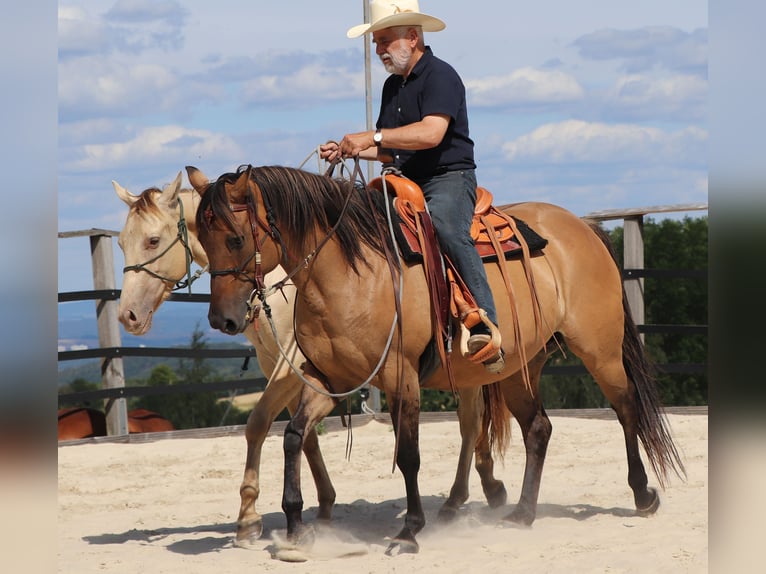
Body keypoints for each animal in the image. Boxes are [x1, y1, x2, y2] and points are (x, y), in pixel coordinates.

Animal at [113, 171, 513, 543]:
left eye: (153, 240)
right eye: (120, 242)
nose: (127, 316)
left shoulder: (289, 365)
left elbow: (258, 423)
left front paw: (248, 517)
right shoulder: (286, 365)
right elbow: (303, 435)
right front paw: (322, 504)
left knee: (471, 419)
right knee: (472, 419)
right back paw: (481, 489)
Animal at [188, 163, 685, 555]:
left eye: (235, 238)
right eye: (201, 240)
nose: (221, 319)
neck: (350, 272)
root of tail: (582, 226)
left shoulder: (400, 377)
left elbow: (408, 454)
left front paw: (409, 531)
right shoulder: (328, 379)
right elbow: (293, 435)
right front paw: (295, 526)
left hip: (600, 351)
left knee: (626, 408)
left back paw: (642, 495)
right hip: (519, 367)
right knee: (538, 428)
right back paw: (523, 513)